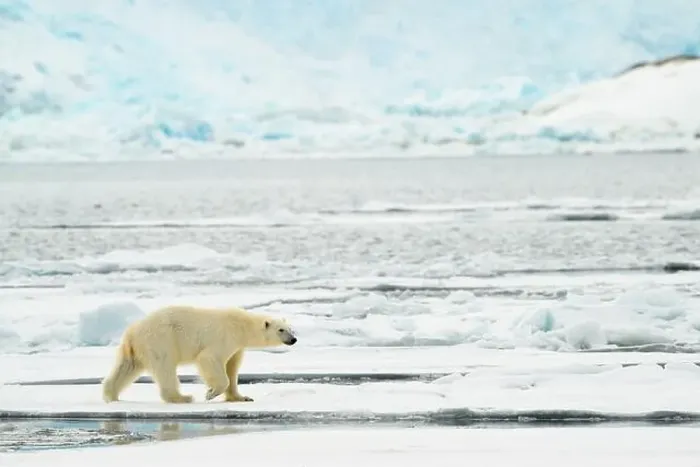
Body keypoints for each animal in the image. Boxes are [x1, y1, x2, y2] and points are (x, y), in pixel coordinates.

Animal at [101, 305, 297, 404]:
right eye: (281, 330)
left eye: (290, 328)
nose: (293, 339)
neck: (242, 326)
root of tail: (131, 332)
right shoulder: (225, 337)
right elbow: (209, 359)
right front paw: (210, 393)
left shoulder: (237, 347)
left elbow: (232, 368)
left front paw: (242, 397)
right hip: (161, 340)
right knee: (165, 368)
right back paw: (182, 397)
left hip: (135, 349)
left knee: (126, 367)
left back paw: (111, 395)